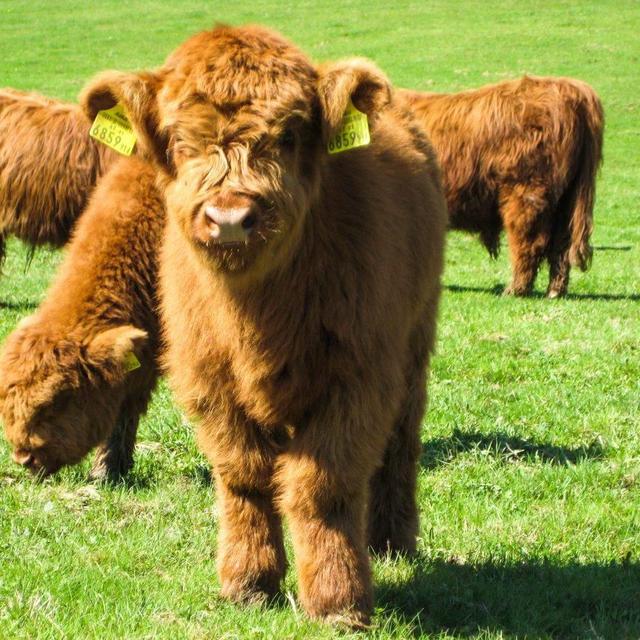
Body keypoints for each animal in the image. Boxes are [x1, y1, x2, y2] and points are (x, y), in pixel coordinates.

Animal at [80, 25, 447, 626]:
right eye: (179, 140)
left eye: (291, 134)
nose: (230, 218)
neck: (257, 317)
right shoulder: (209, 383)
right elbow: (243, 474)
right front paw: (248, 583)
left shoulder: (358, 378)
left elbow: (322, 485)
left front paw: (337, 599)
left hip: (414, 343)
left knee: (400, 440)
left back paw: (391, 540)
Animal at [399, 75, 604, 297]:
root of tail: (569, 87)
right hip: (567, 200)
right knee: (561, 246)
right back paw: (554, 291)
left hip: (526, 192)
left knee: (530, 242)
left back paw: (515, 289)